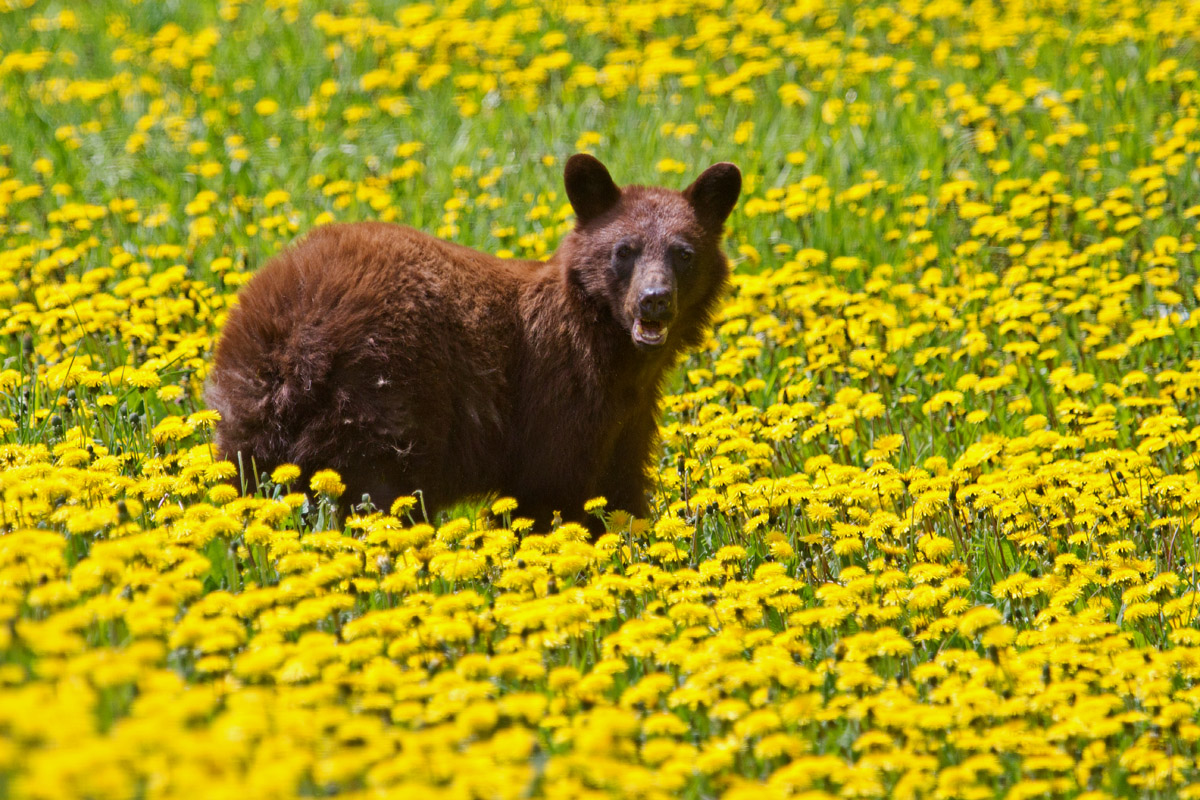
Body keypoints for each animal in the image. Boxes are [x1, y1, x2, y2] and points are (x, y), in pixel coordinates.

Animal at [205, 154, 741, 531]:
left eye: (683, 253)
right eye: (623, 251)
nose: (655, 300)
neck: (618, 356)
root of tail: (298, 335)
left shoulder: (628, 420)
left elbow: (621, 491)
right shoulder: (558, 395)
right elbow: (555, 491)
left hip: (248, 413)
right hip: (384, 401)